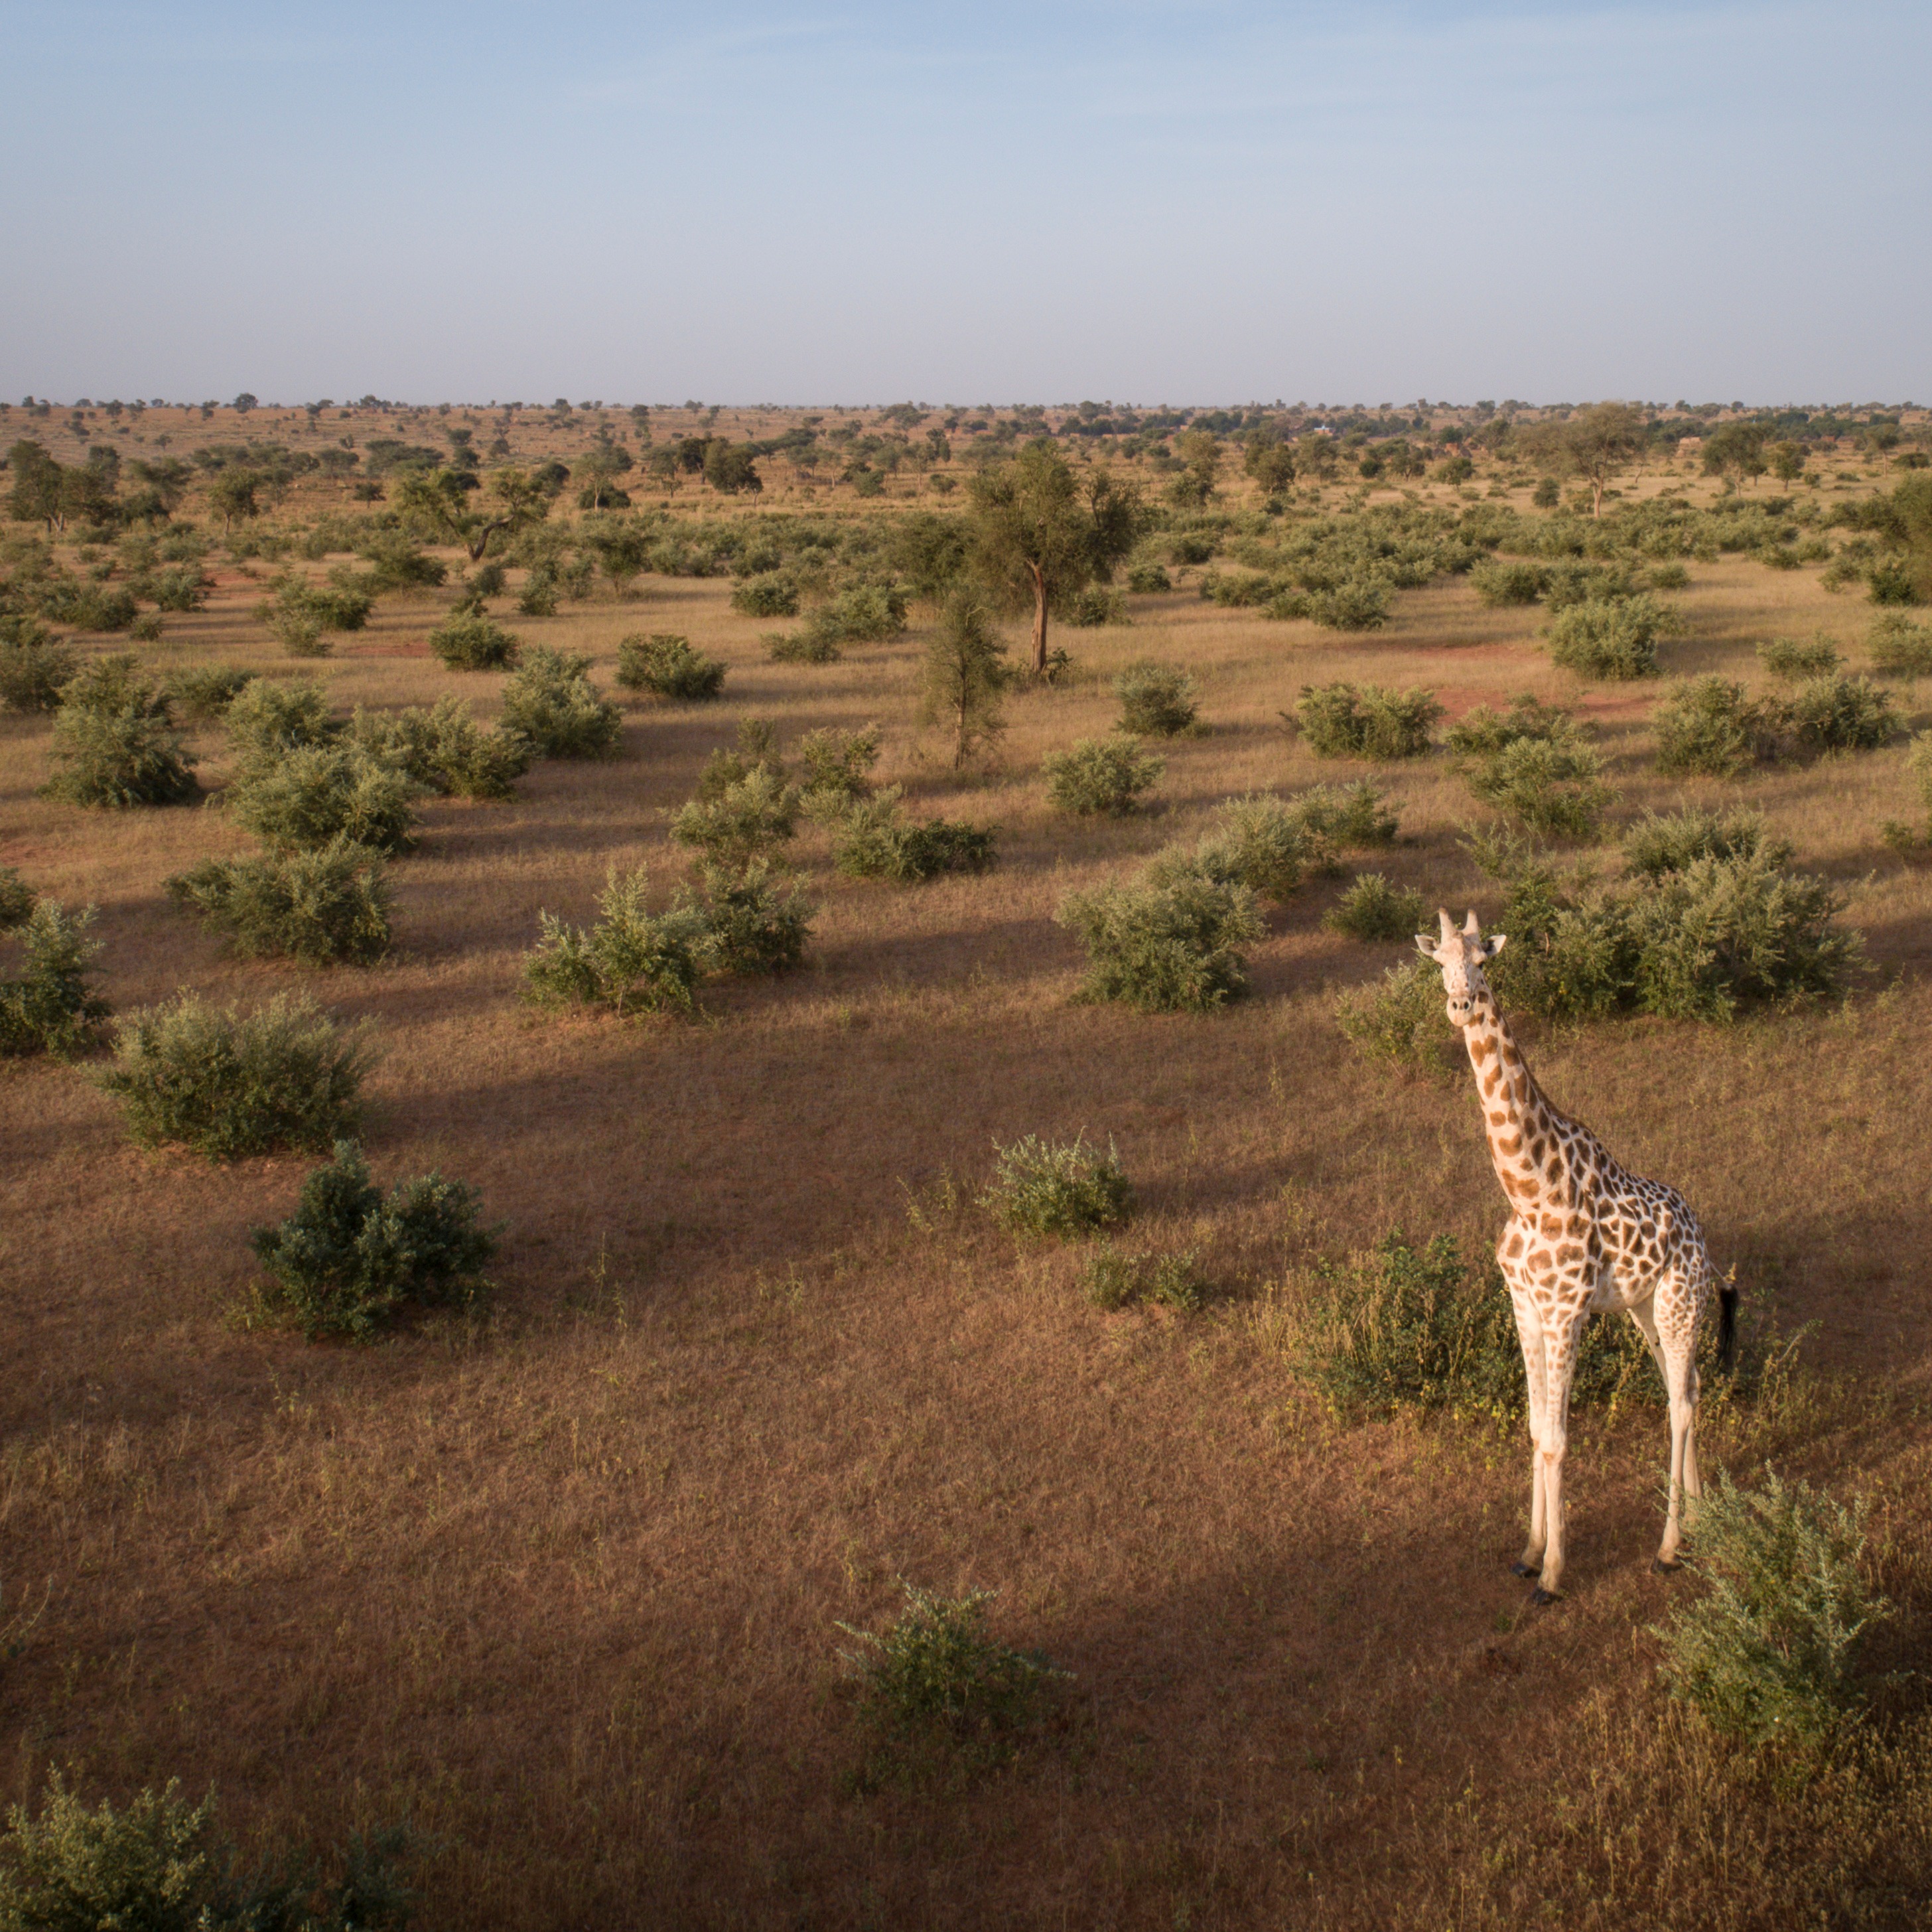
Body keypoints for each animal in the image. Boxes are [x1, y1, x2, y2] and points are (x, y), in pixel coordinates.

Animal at [1415, 909, 1736, 1602]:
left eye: (1484, 960)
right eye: (1440, 962)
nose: (1460, 1004)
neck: (1530, 1188)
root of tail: (1703, 1240)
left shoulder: (1567, 1312)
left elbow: (1560, 1440)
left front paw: (1553, 1575)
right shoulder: (1525, 1305)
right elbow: (1537, 1429)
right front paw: (1529, 1551)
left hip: (1677, 1305)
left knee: (1680, 1402)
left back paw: (1669, 1547)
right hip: (1648, 1311)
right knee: (1688, 1387)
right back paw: (1701, 1513)